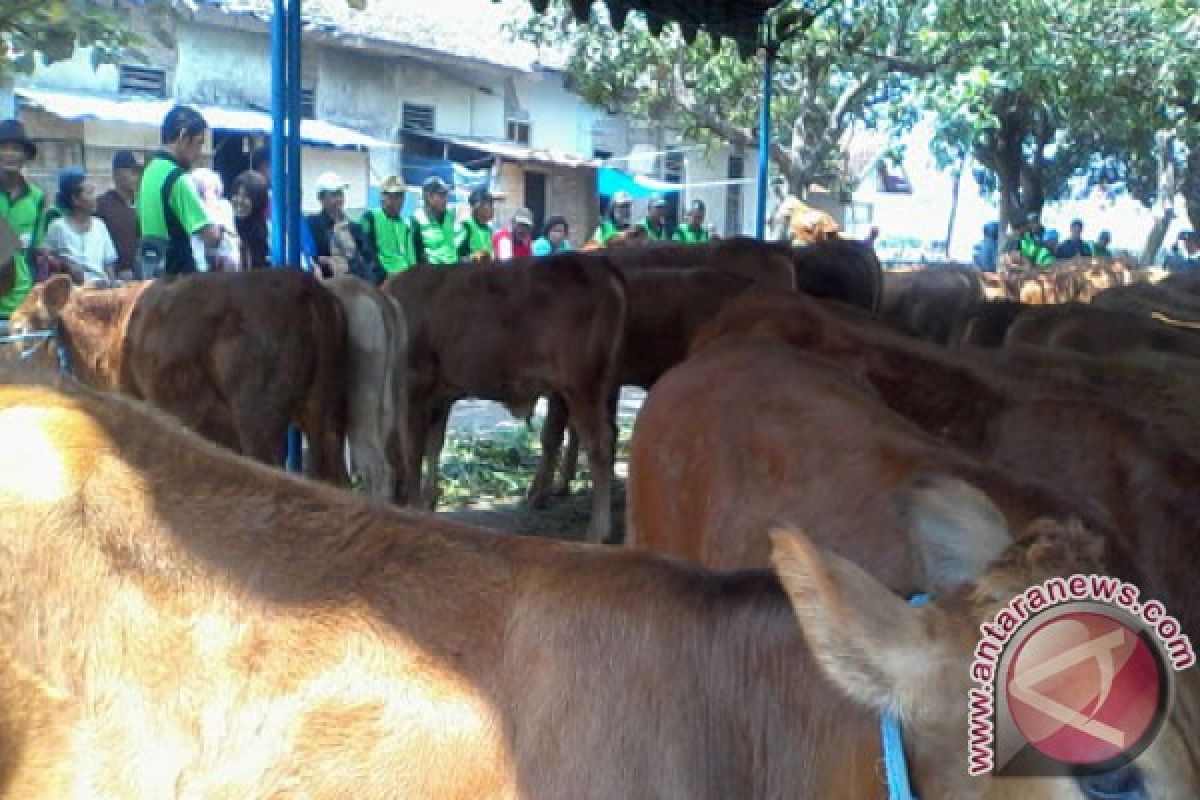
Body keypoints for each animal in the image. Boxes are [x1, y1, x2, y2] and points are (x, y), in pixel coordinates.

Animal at [384, 256, 628, 544]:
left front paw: (413, 507)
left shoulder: (413, 388)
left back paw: (598, 530)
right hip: (601, 385)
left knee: (599, 443)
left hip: (580, 384)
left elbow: (413, 452)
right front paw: (429, 500)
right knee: (609, 434)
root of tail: (599, 264)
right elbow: (434, 446)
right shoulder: (440, 398)